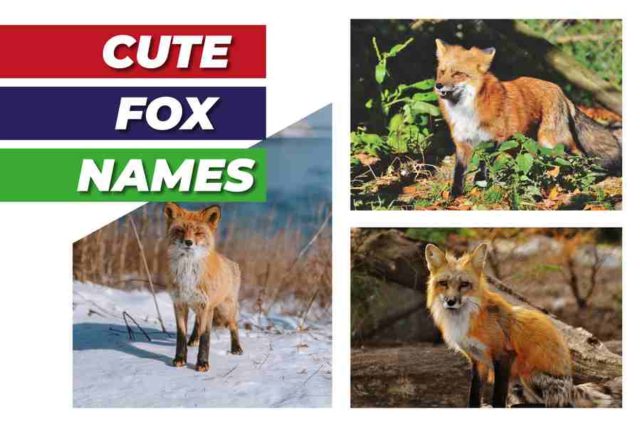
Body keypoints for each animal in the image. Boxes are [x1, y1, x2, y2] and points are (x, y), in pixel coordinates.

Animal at [164, 202, 243, 372]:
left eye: (198, 233)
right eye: (180, 230)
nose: (188, 242)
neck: (188, 273)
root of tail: (232, 262)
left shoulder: (206, 306)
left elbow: (206, 337)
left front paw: (202, 363)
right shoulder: (179, 303)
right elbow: (181, 334)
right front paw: (180, 359)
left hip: (224, 309)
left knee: (234, 325)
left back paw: (236, 348)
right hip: (198, 306)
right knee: (197, 323)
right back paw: (193, 339)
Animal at [425, 243, 574, 407]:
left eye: (464, 284)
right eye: (443, 283)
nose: (450, 301)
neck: (465, 320)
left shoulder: (503, 355)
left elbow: (498, 398)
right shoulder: (477, 360)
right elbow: (474, 396)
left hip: (527, 376)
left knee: (550, 405)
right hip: (516, 385)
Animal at [434, 39, 622, 198]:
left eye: (458, 74)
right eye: (442, 72)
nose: (438, 85)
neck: (466, 112)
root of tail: (559, 89)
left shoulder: (494, 139)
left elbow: (483, 168)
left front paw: (480, 189)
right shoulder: (462, 143)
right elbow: (459, 174)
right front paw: (455, 196)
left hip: (552, 141)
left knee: (578, 156)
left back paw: (580, 179)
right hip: (523, 145)